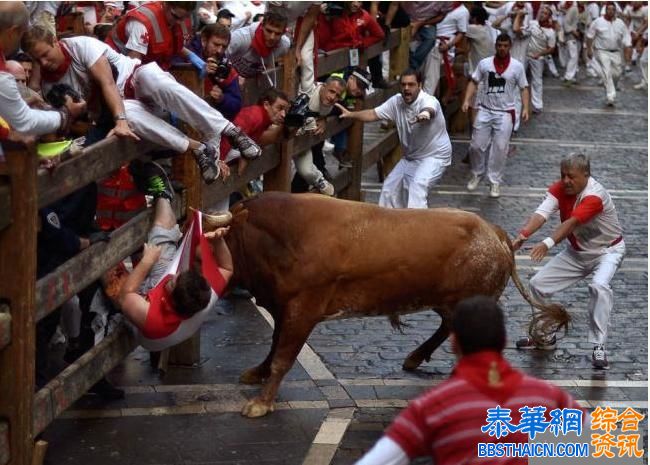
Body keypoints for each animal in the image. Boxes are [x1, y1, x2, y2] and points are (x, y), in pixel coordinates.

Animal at [224, 192, 568, 416]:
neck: (285, 236)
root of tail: (493, 232)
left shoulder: (303, 308)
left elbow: (284, 355)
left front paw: (261, 403)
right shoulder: (282, 306)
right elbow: (274, 344)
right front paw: (257, 372)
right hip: (445, 301)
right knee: (447, 326)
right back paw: (416, 358)